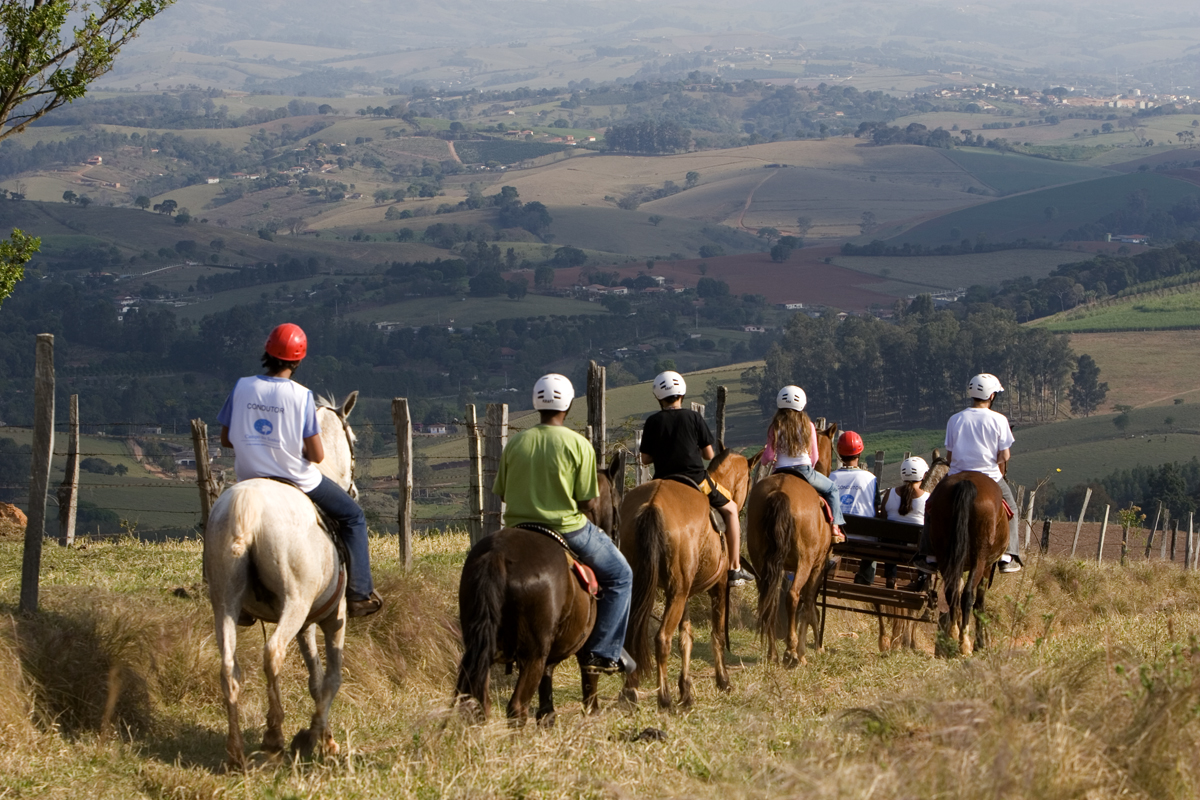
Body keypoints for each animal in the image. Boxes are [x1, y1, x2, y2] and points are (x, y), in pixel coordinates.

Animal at [204, 393, 360, 767]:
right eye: (354, 440)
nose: (354, 491)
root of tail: (246, 506)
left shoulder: (307, 625)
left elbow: (315, 680)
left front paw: (322, 737)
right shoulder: (334, 617)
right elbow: (331, 678)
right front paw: (317, 737)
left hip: (225, 603)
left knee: (228, 667)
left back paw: (236, 751)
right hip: (294, 603)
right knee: (272, 653)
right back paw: (274, 735)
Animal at [453, 455, 624, 724]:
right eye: (617, 501)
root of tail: (497, 555)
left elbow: (547, 695)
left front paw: (547, 716)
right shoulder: (585, 648)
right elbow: (589, 682)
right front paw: (592, 714)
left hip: (479, 648)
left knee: (478, 704)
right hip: (531, 655)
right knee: (516, 707)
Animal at [619, 448, 748, 710]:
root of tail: (653, 503)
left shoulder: (684, 592)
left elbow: (686, 638)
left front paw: (686, 691)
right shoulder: (718, 587)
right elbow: (717, 635)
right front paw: (723, 681)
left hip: (651, 588)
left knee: (632, 635)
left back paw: (630, 691)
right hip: (676, 594)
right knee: (662, 639)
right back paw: (664, 698)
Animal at [744, 424, 840, 671]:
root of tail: (779, 491)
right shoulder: (817, 567)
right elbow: (808, 604)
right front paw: (805, 650)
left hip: (761, 562)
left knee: (769, 599)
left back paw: (773, 654)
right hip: (804, 563)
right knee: (794, 597)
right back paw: (791, 652)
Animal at [921, 470, 1008, 657]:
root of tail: (966, 483)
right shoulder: (987, 567)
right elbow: (979, 604)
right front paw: (980, 644)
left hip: (945, 554)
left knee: (951, 591)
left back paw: (953, 635)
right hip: (979, 559)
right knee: (968, 595)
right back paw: (965, 644)